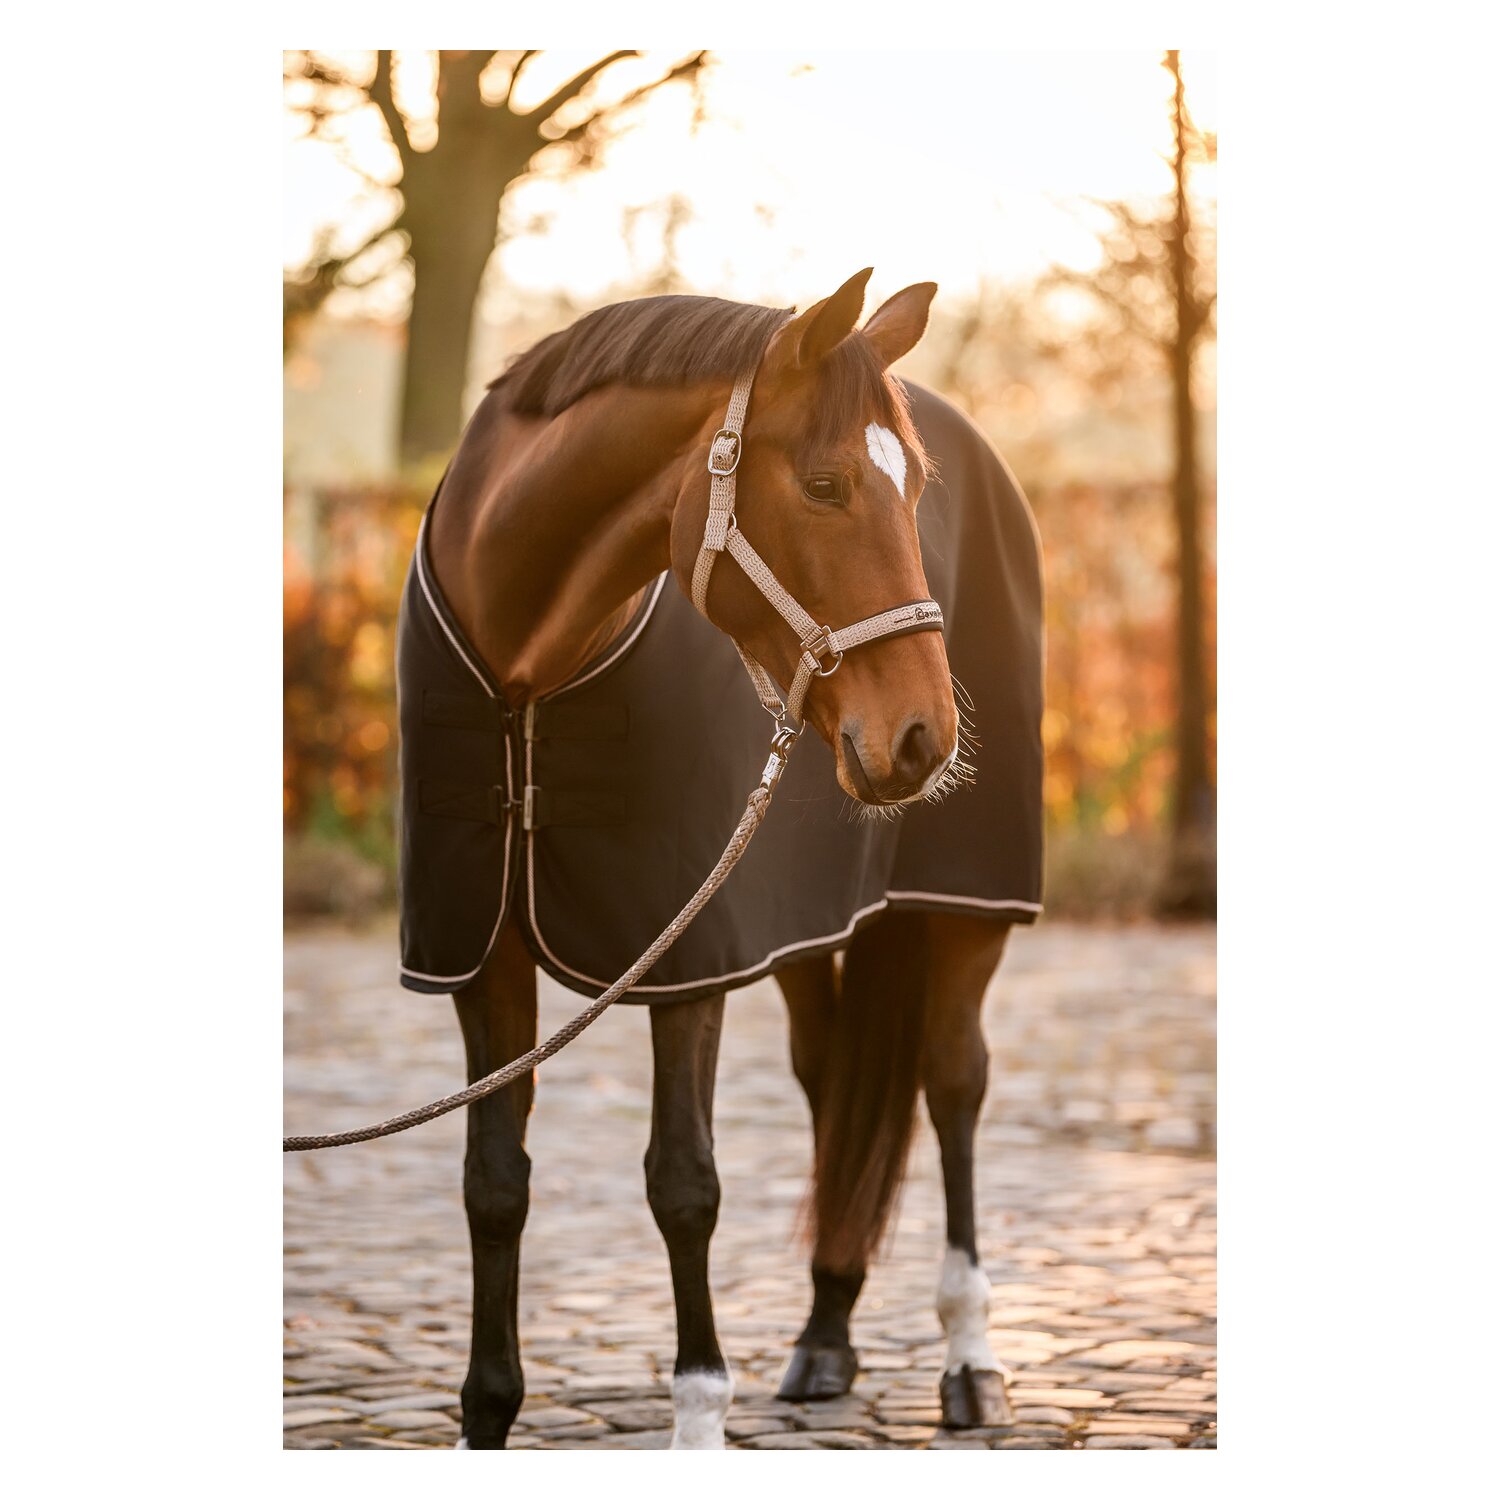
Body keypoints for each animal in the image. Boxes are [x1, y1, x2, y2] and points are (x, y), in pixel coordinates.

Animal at [399, 268, 1044, 1448]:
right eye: (827, 484)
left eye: (916, 491)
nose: (924, 737)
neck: (527, 669)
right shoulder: (484, 955)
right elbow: (494, 1184)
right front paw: (486, 1414)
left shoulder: (684, 961)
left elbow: (683, 1184)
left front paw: (698, 1419)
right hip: (807, 935)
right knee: (834, 1085)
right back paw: (826, 1335)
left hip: (963, 908)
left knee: (953, 1083)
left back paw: (970, 1358)